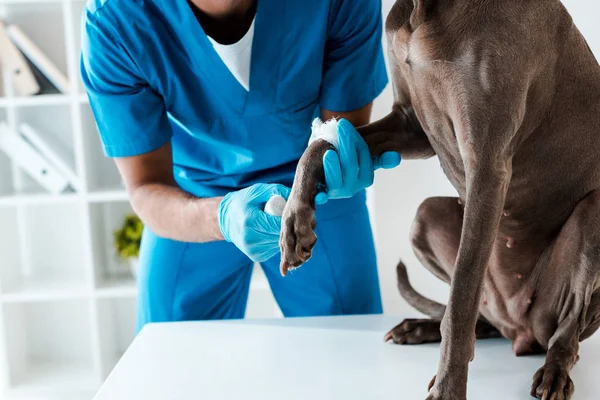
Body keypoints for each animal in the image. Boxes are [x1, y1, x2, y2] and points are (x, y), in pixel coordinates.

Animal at [278, 0, 600, 400]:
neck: (428, 9)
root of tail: (519, 329)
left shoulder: (487, 164)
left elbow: (460, 298)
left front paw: (448, 386)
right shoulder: (409, 124)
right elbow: (321, 144)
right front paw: (294, 220)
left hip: (589, 223)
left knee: (565, 332)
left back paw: (554, 370)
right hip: (425, 216)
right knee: (482, 316)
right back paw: (419, 327)